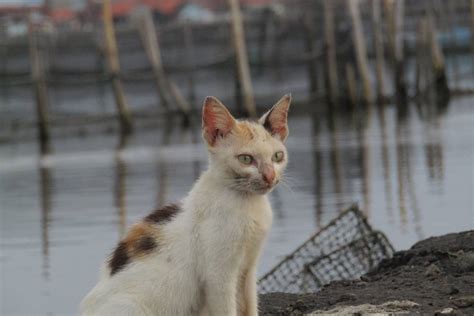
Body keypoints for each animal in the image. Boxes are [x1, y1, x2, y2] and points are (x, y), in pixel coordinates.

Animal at [79, 94, 290, 316]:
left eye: (277, 156)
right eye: (246, 159)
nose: (270, 177)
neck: (248, 203)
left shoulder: (248, 270)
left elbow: (250, 306)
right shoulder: (218, 277)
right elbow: (226, 309)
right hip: (130, 307)